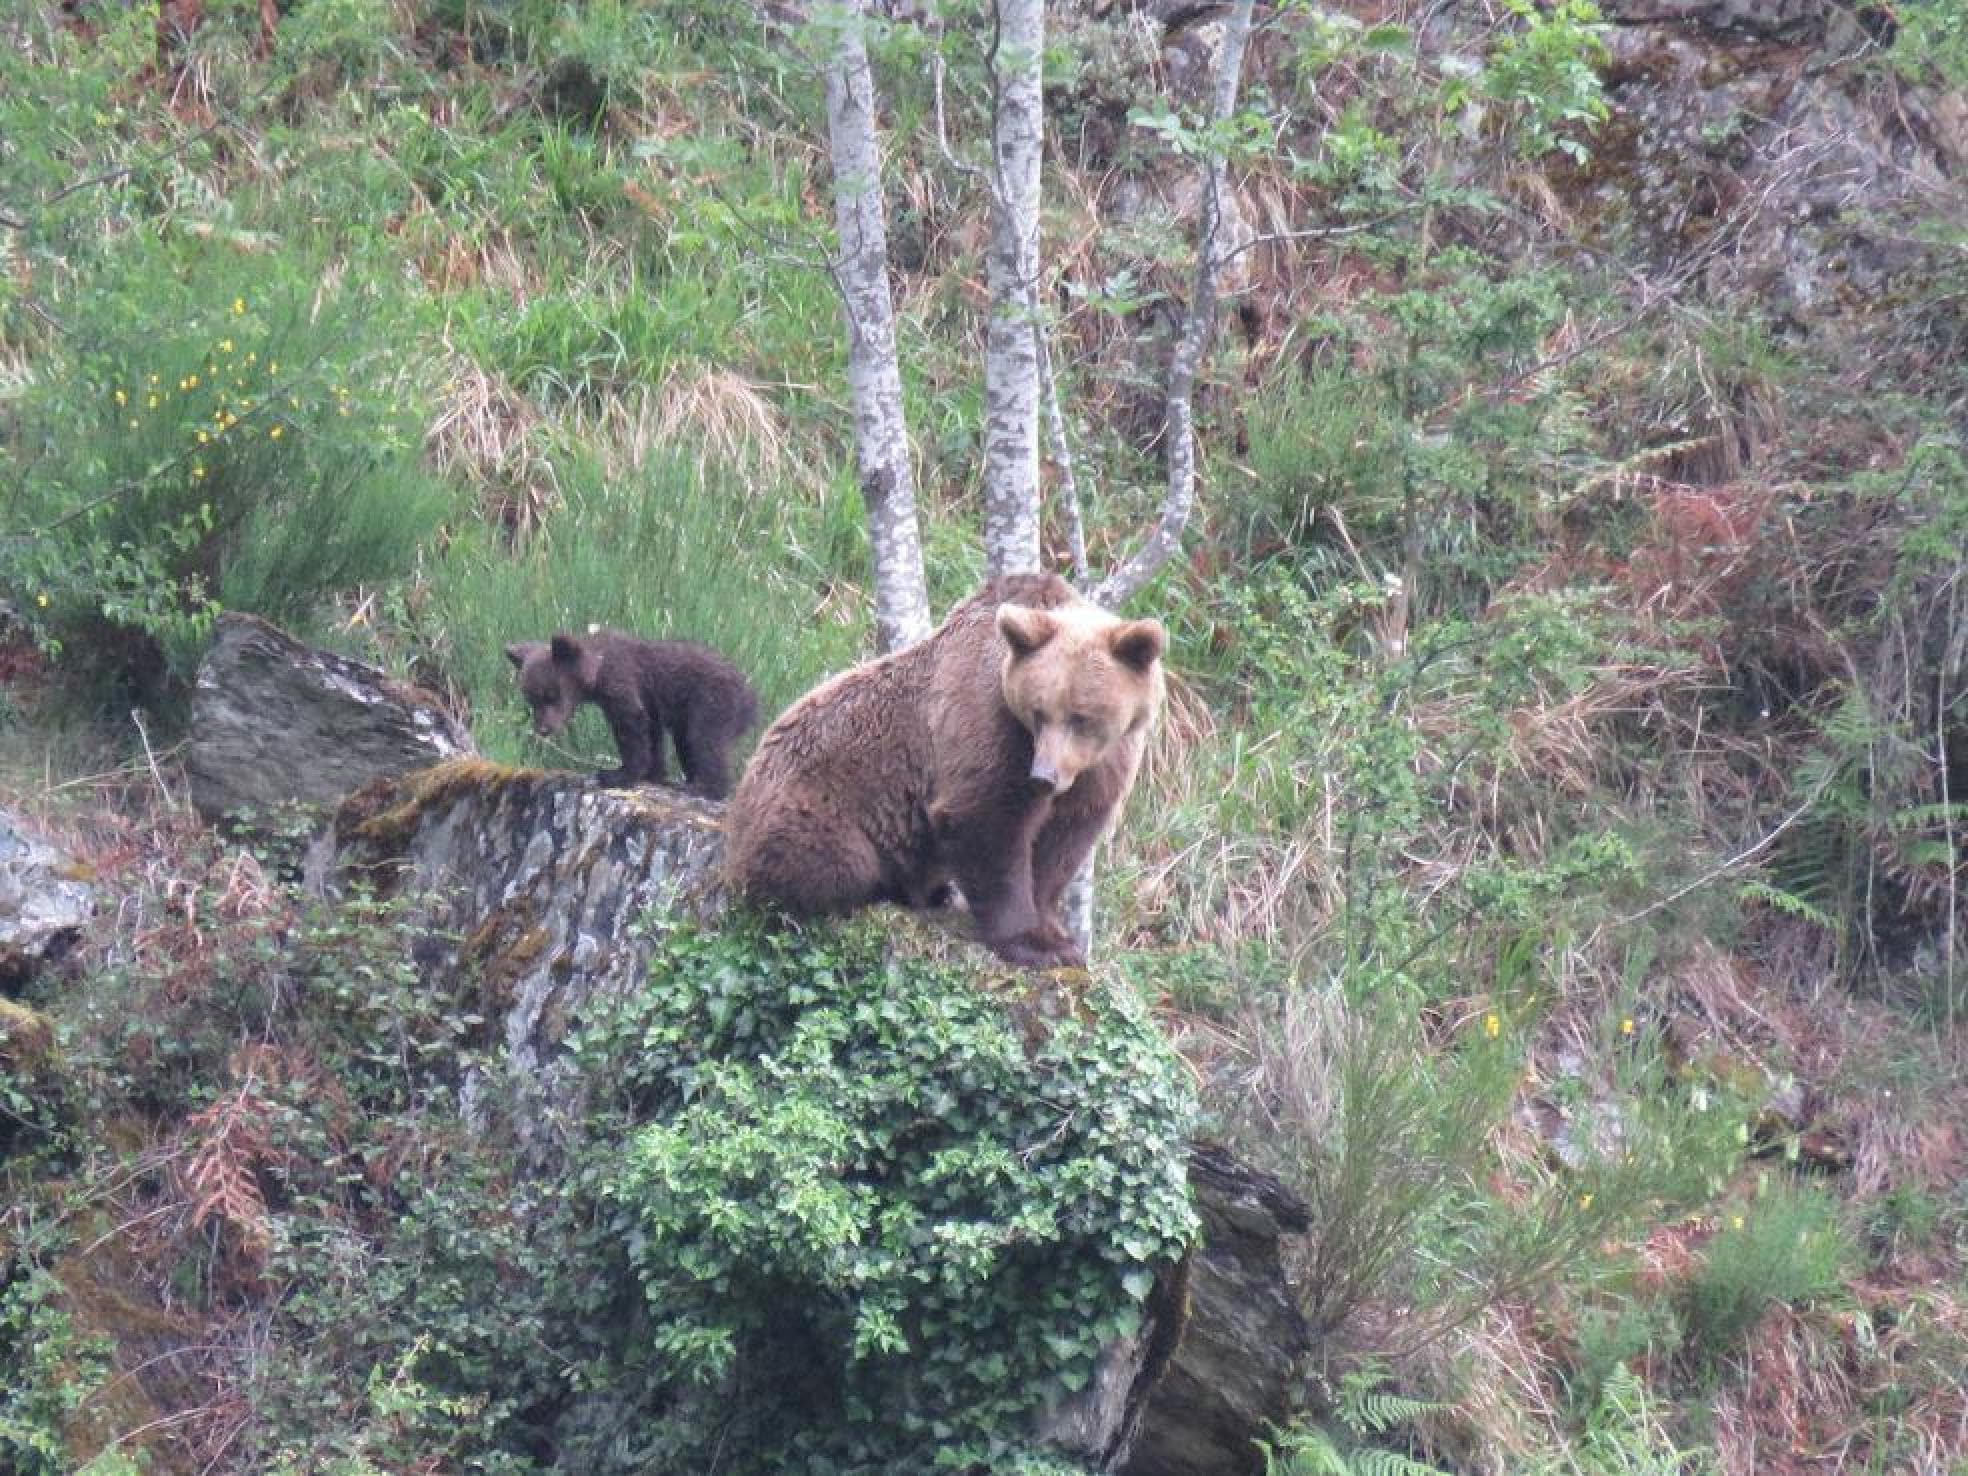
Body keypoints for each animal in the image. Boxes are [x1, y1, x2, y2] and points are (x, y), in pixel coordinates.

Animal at [728, 574, 1165, 972]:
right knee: (830, 862)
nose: (1044, 776)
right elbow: (989, 820)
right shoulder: (991, 722)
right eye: (1039, 712)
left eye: (1081, 716)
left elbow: (1064, 840)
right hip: (814, 804)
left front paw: (1057, 935)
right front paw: (1030, 942)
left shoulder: (1105, 765)